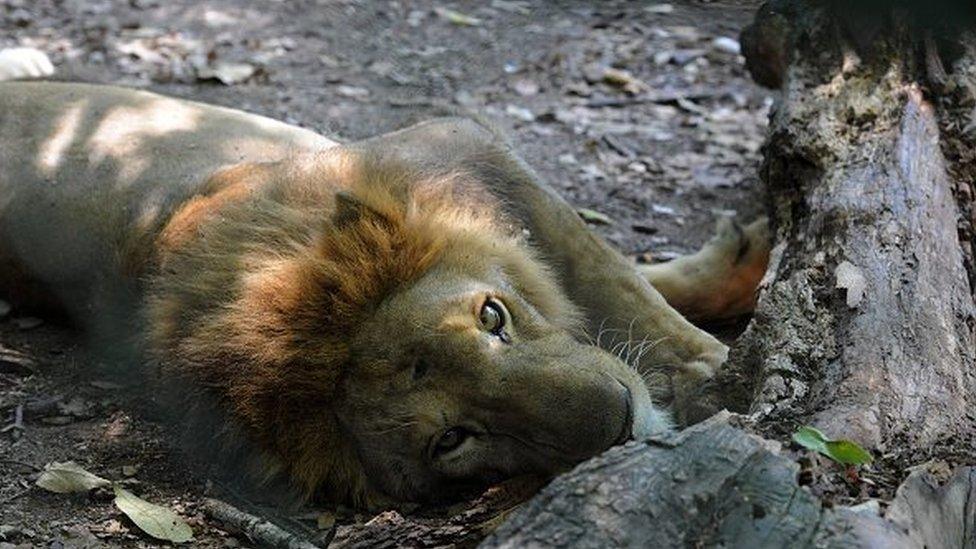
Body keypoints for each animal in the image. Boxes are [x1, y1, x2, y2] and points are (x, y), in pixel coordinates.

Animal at [0, 80, 772, 506]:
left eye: (493, 316)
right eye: (451, 441)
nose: (620, 417)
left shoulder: (458, 143)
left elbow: (612, 272)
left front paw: (717, 333)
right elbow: (614, 284)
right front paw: (713, 376)